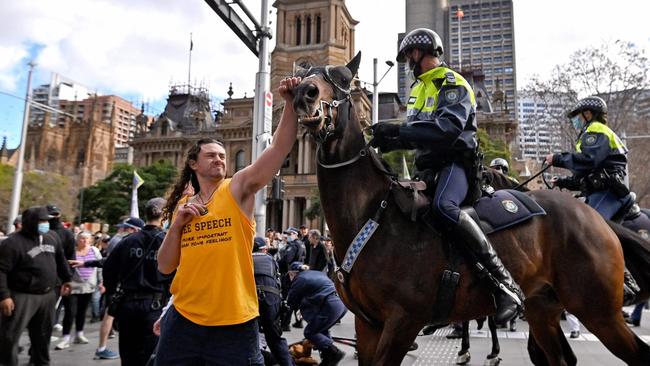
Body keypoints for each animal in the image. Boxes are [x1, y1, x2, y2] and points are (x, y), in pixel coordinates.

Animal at [292, 52, 648, 366]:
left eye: (343, 80)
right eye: (307, 72)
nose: (303, 93)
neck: (372, 215)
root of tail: (594, 216)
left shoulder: (403, 322)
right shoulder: (368, 325)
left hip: (598, 310)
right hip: (542, 309)